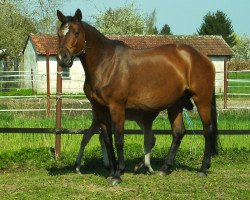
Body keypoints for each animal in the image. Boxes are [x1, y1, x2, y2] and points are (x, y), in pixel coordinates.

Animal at [56, 9, 217, 184]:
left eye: (77, 32)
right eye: (59, 33)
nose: (62, 58)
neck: (106, 64)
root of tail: (202, 58)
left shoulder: (117, 107)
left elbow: (119, 139)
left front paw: (118, 174)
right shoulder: (100, 110)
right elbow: (107, 140)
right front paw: (111, 171)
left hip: (202, 99)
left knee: (207, 130)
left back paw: (203, 168)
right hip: (175, 104)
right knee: (178, 132)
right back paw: (164, 168)